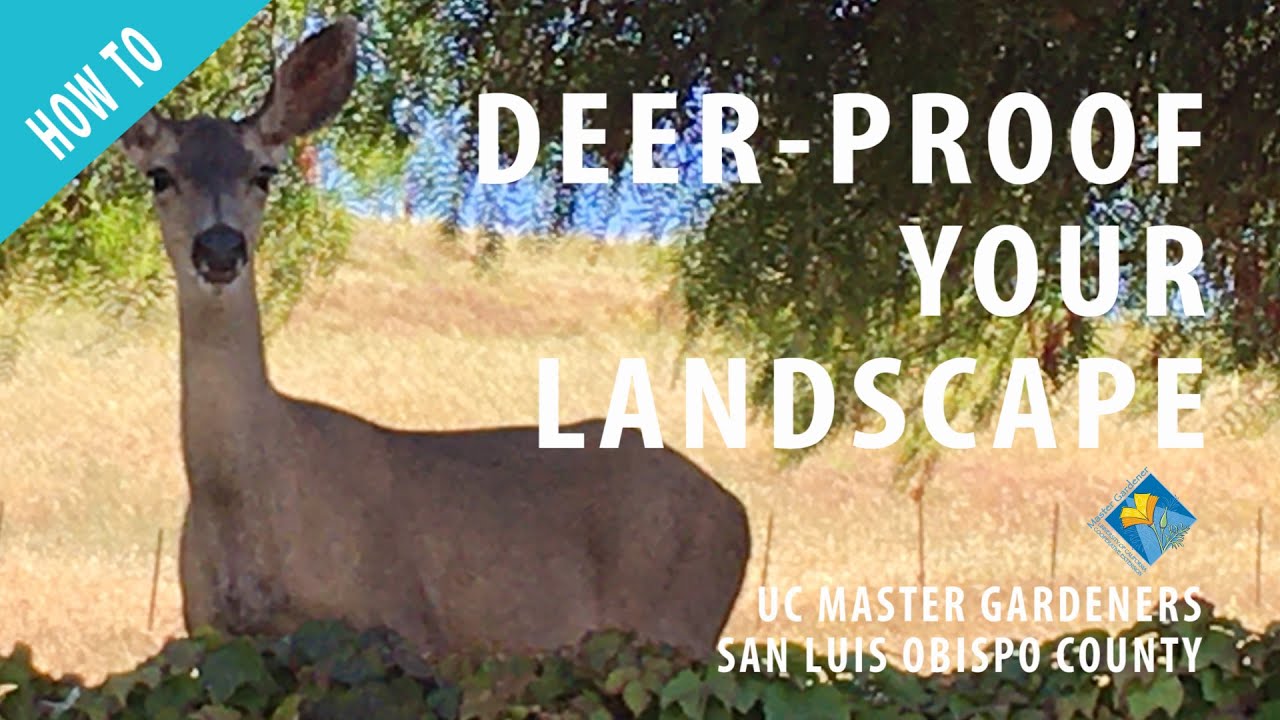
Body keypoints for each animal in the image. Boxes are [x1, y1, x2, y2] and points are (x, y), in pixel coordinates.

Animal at [115, 16, 751, 659]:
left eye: (263, 174)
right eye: (160, 176)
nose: (220, 249)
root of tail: (735, 509)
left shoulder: (400, 620)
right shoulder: (206, 628)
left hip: (676, 622)